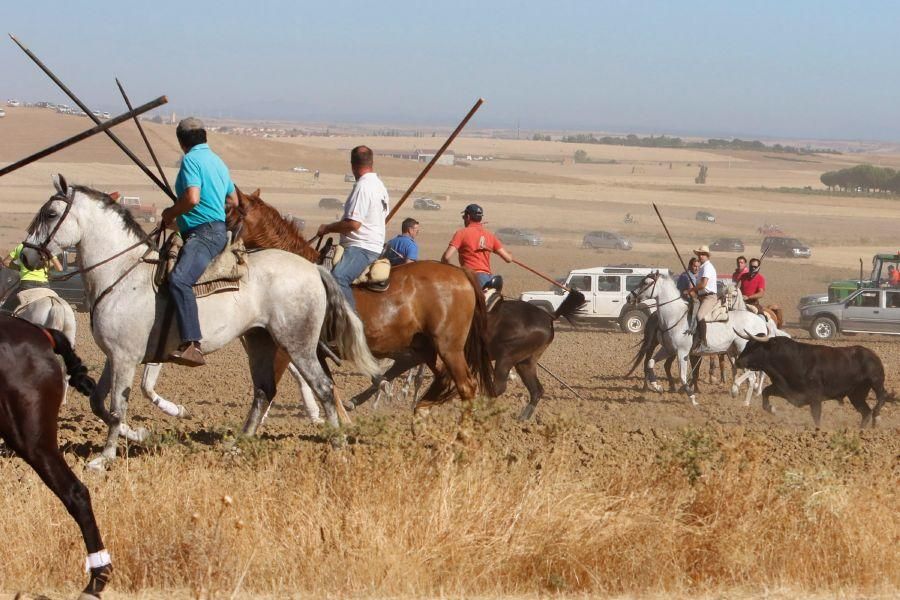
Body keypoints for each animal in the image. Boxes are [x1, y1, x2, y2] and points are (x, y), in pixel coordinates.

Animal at [20, 177, 380, 468]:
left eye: (50, 214)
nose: (25, 255)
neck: (123, 274)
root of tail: (313, 269)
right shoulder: (116, 356)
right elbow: (99, 404)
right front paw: (139, 434)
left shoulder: (125, 358)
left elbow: (117, 406)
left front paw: (104, 459)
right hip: (260, 342)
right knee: (264, 390)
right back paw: (237, 446)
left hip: (298, 344)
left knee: (323, 388)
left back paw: (338, 448)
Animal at [225, 188, 492, 432]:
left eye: (229, 216)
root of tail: (461, 273)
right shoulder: (317, 354)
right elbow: (330, 390)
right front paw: (344, 424)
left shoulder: (287, 350)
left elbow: (270, 389)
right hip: (426, 347)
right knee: (443, 380)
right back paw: (419, 412)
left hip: (448, 347)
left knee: (465, 386)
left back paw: (461, 435)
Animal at [624, 274, 768, 406]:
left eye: (646, 283)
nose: (629, 297)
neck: (674, 316)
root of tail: (761, 321)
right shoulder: (668, 349)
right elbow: (651, 363)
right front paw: (657, 386)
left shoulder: (682, 352)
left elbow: (683, 376)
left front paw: (692, 398)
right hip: (733, 351)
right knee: (747, 374)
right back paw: (741, 398)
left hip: (742, 350)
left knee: (752, 374)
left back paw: (741, 395)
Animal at [740, 336, 892, 428]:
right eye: (746, 344)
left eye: (755, 346)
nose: (738, 361)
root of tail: (873, 355)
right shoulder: (785, 390)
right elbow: (766, 392)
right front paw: (772, 409)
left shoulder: (815, 398)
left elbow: (816, 416)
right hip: (856, 394)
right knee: (865, 412)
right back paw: (861, 430)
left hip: (876, 381)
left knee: (882, 396)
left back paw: (876, 418)